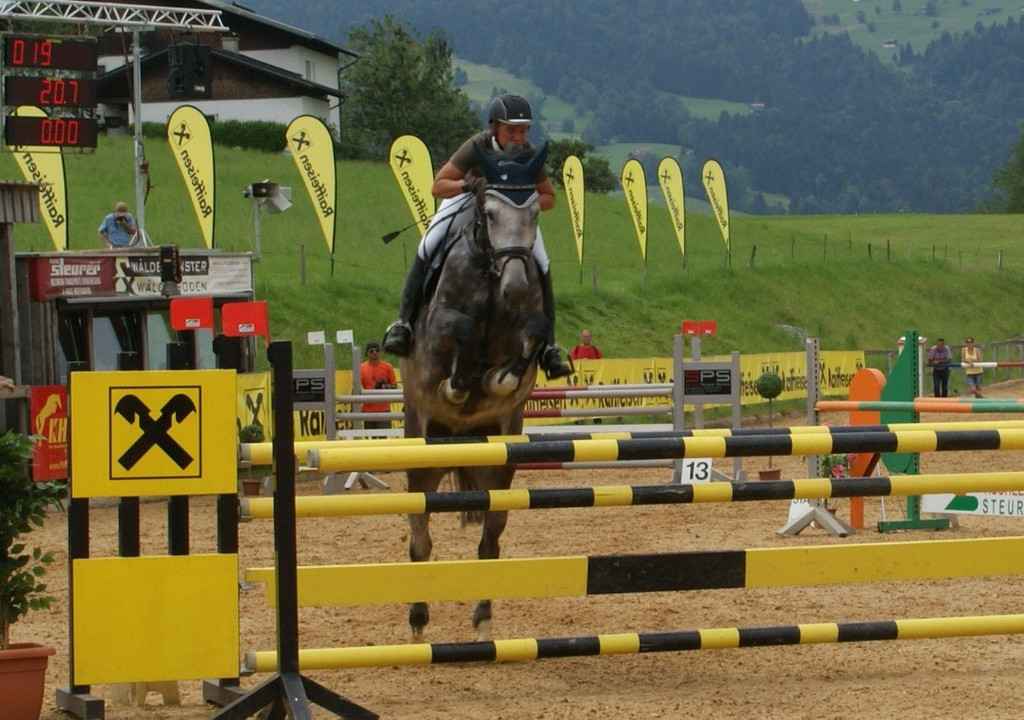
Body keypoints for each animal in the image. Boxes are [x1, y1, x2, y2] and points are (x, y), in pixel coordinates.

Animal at [400, 141, 551, 642]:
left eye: (534, 215)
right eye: (488, 211)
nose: (516, 288)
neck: (490, 271)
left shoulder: (527, 324)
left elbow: (534, 331)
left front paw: (496, 380)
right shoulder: (440, 326)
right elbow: (462, 330)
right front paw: (459, 383)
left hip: (499, 461)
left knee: (491, 536)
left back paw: (483, 619)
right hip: (421, 446)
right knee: (419, 534)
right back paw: (417, 622)